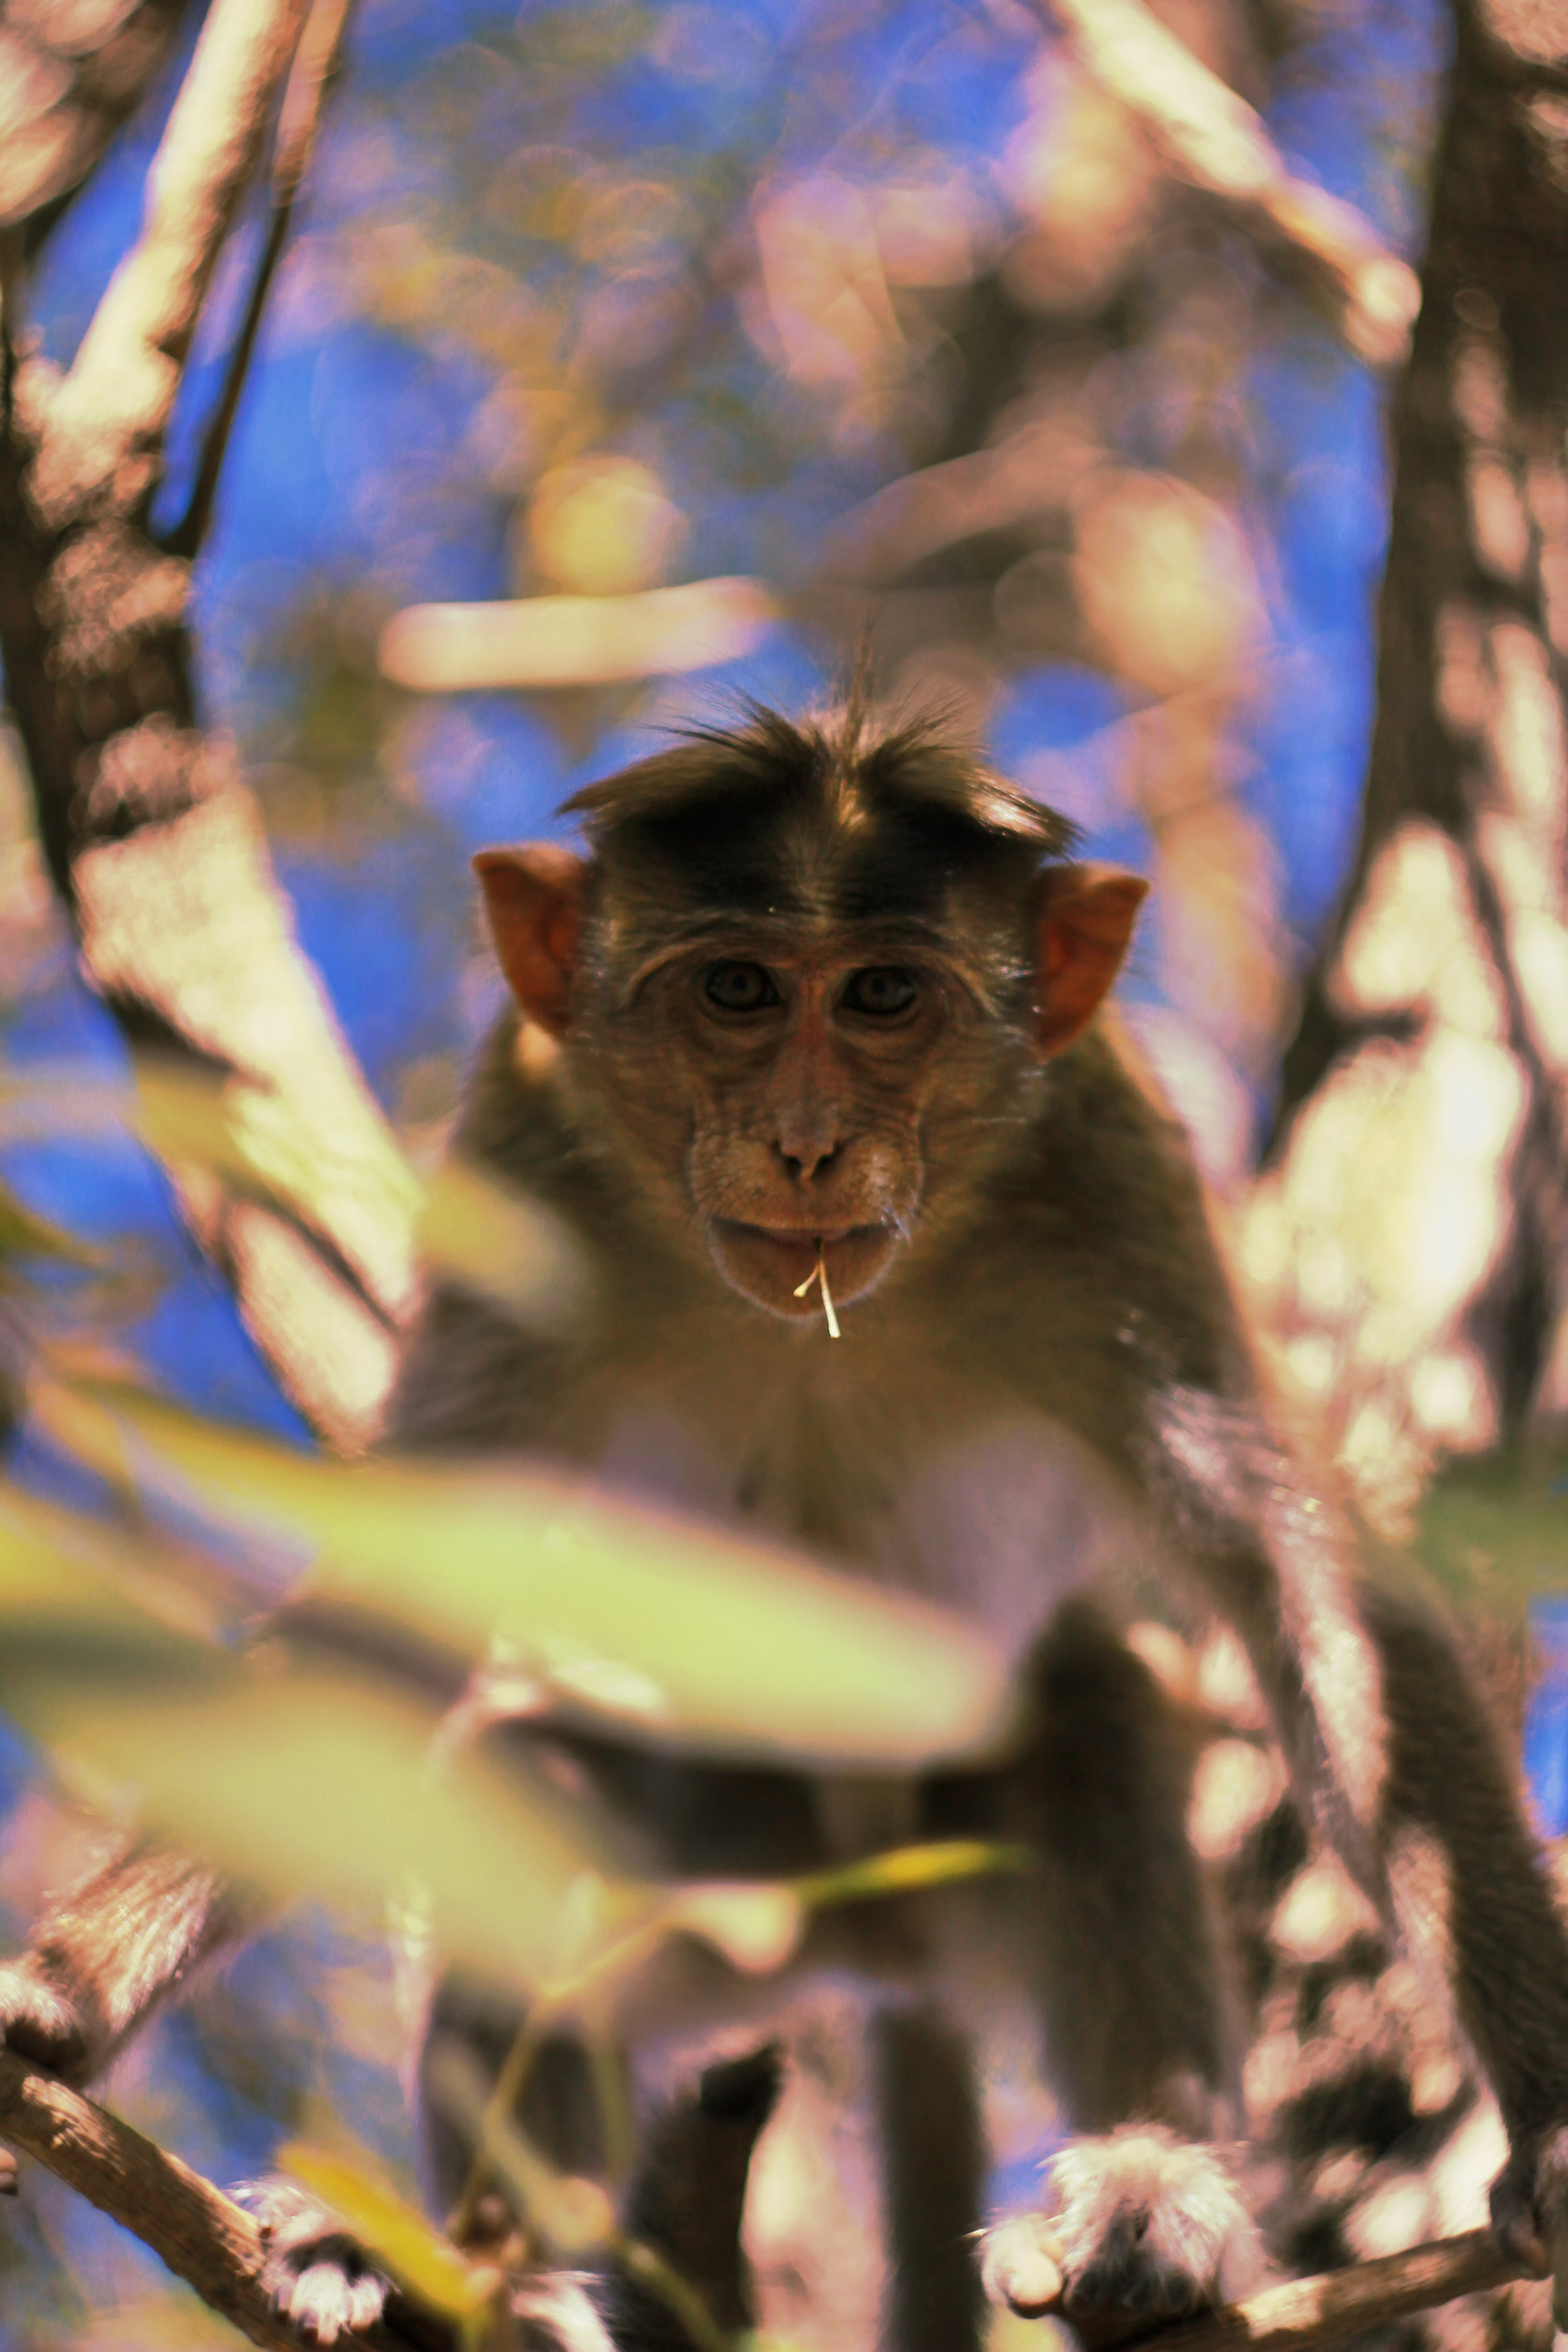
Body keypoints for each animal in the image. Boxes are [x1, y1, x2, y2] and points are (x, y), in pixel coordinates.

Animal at [3, 696, 1568, 2352]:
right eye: (738, 989)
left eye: (883, 995)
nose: (808, 1140)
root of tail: (867, 1949)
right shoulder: (526, 1170)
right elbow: (399, 1613)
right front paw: (67, 1997)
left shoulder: (1109, 1171)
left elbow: (1298, 1588)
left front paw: (1548, 2120)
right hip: (721, 1901)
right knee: (524, 1773)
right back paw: (478, 2262)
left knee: (1097, 1714)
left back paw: (1147, 2208)